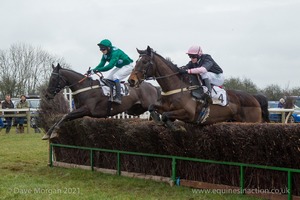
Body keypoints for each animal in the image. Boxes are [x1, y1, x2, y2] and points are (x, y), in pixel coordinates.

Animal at [127, 46, 262, 130]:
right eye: (136, 62)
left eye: (144, 62)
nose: (131, 81)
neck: (177, 87)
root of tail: (255, 98)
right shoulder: (164, 107)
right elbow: (152, 107)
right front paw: (158, 120)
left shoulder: (189, 113)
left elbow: (166, 115)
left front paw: (176, 127)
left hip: (251, 121)